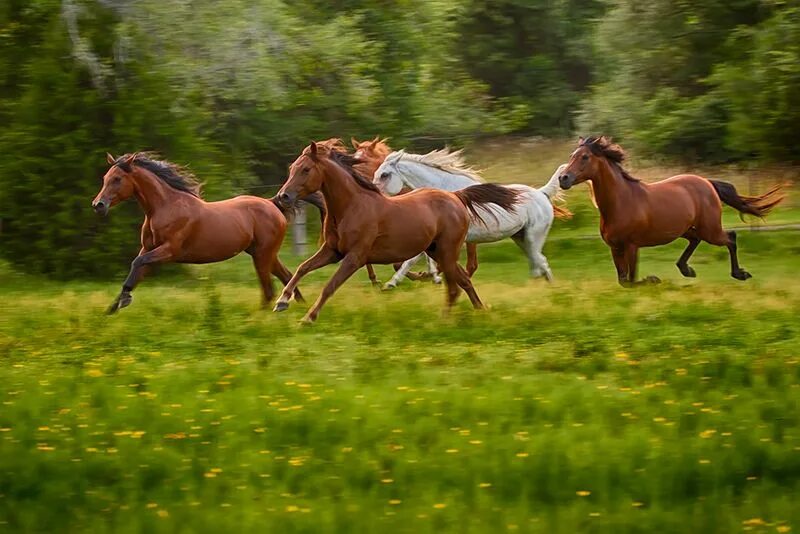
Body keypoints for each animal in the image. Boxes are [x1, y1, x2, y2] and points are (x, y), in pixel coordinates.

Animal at [91, 153, 304, 314]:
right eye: (105, 178)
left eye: (117, 179)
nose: (98, 205)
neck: (165, 207)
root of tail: (271, 204)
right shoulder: (148, 249)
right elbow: (135, 271)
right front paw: (112, 308)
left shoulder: (169, 251)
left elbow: (137, 263)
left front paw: (123, 300)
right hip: (263, 253)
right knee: (287, 276)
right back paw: (299, 306)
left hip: (262, 254)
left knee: (269, 289)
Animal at [272, 140, 520, 324]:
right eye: (292, 168)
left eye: (306, 169)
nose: (283, 196)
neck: (352, 206)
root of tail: (455, 196)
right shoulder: (333, 251)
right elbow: (302, 268)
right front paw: (281, 302)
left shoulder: (355, 257)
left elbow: (329, 286)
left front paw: (308, 318)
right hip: (437, 251)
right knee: (463, 281)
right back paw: (480, 310)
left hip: (447, 252)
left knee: (454, 286)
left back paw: (445, 320)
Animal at [372, 149, 564, 292]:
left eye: (385, 175)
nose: (375, 195)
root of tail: (542, 193)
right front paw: (431, 277)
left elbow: (413, 259)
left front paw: (391, 283)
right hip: (520, 238)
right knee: (539, 265)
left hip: (533, 237)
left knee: (540, 263)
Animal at [560, 138, 784, 288]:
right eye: (571, 156)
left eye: (585, 157)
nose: (563, 178)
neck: (620, 202)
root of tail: (707, 182)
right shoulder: (615, 248)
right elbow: (623, 281)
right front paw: (653, 279)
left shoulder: (632, 246)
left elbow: (632, 280)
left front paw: (653, 279)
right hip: (684, 229)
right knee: (696, 240)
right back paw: (686, 269)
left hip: (710, 229)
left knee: (731, 238)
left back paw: (739, 274)